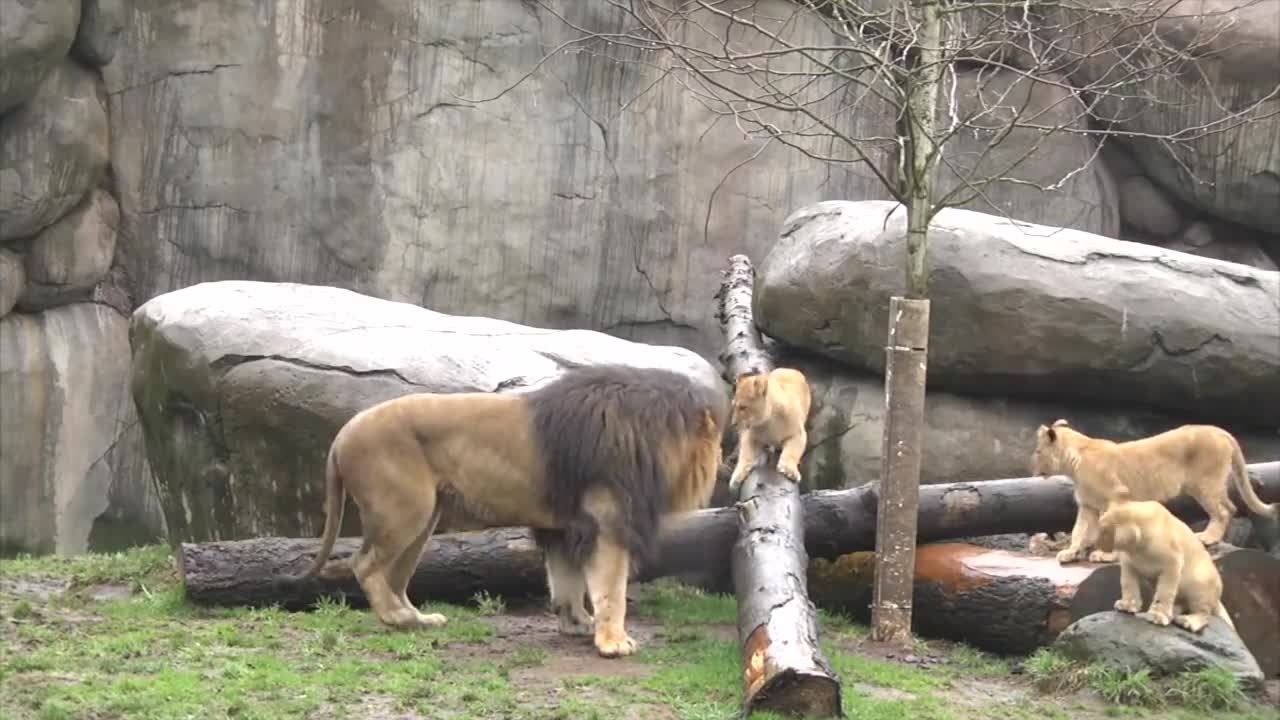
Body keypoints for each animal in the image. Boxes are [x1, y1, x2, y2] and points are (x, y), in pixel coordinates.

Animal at [293, 363, 727, 655]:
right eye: (717, 440)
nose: (724, 462)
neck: (648, 434)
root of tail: (341, 435)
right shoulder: (605, 524)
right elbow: (611, 589)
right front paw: (613, 642)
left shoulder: (565, 529)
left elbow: (567, 582)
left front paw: (577, 624)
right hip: (404, 510)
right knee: (364, 565)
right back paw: (396, 619)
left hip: (422, 518)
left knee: (395, 577)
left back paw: (417, 620)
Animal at [1034, 417, 1274, 563]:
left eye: (1037, 451)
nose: (1035, 469)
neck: (1073, 462)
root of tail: (1220, 430)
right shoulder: (1088, 505)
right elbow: (1079, 530)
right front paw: (1070, 552)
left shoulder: (1118, 497)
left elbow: (1112, 529)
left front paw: (1106, 556)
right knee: (1228, 508)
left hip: (1205, 482)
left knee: (1226, 510)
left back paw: (1208, 538)